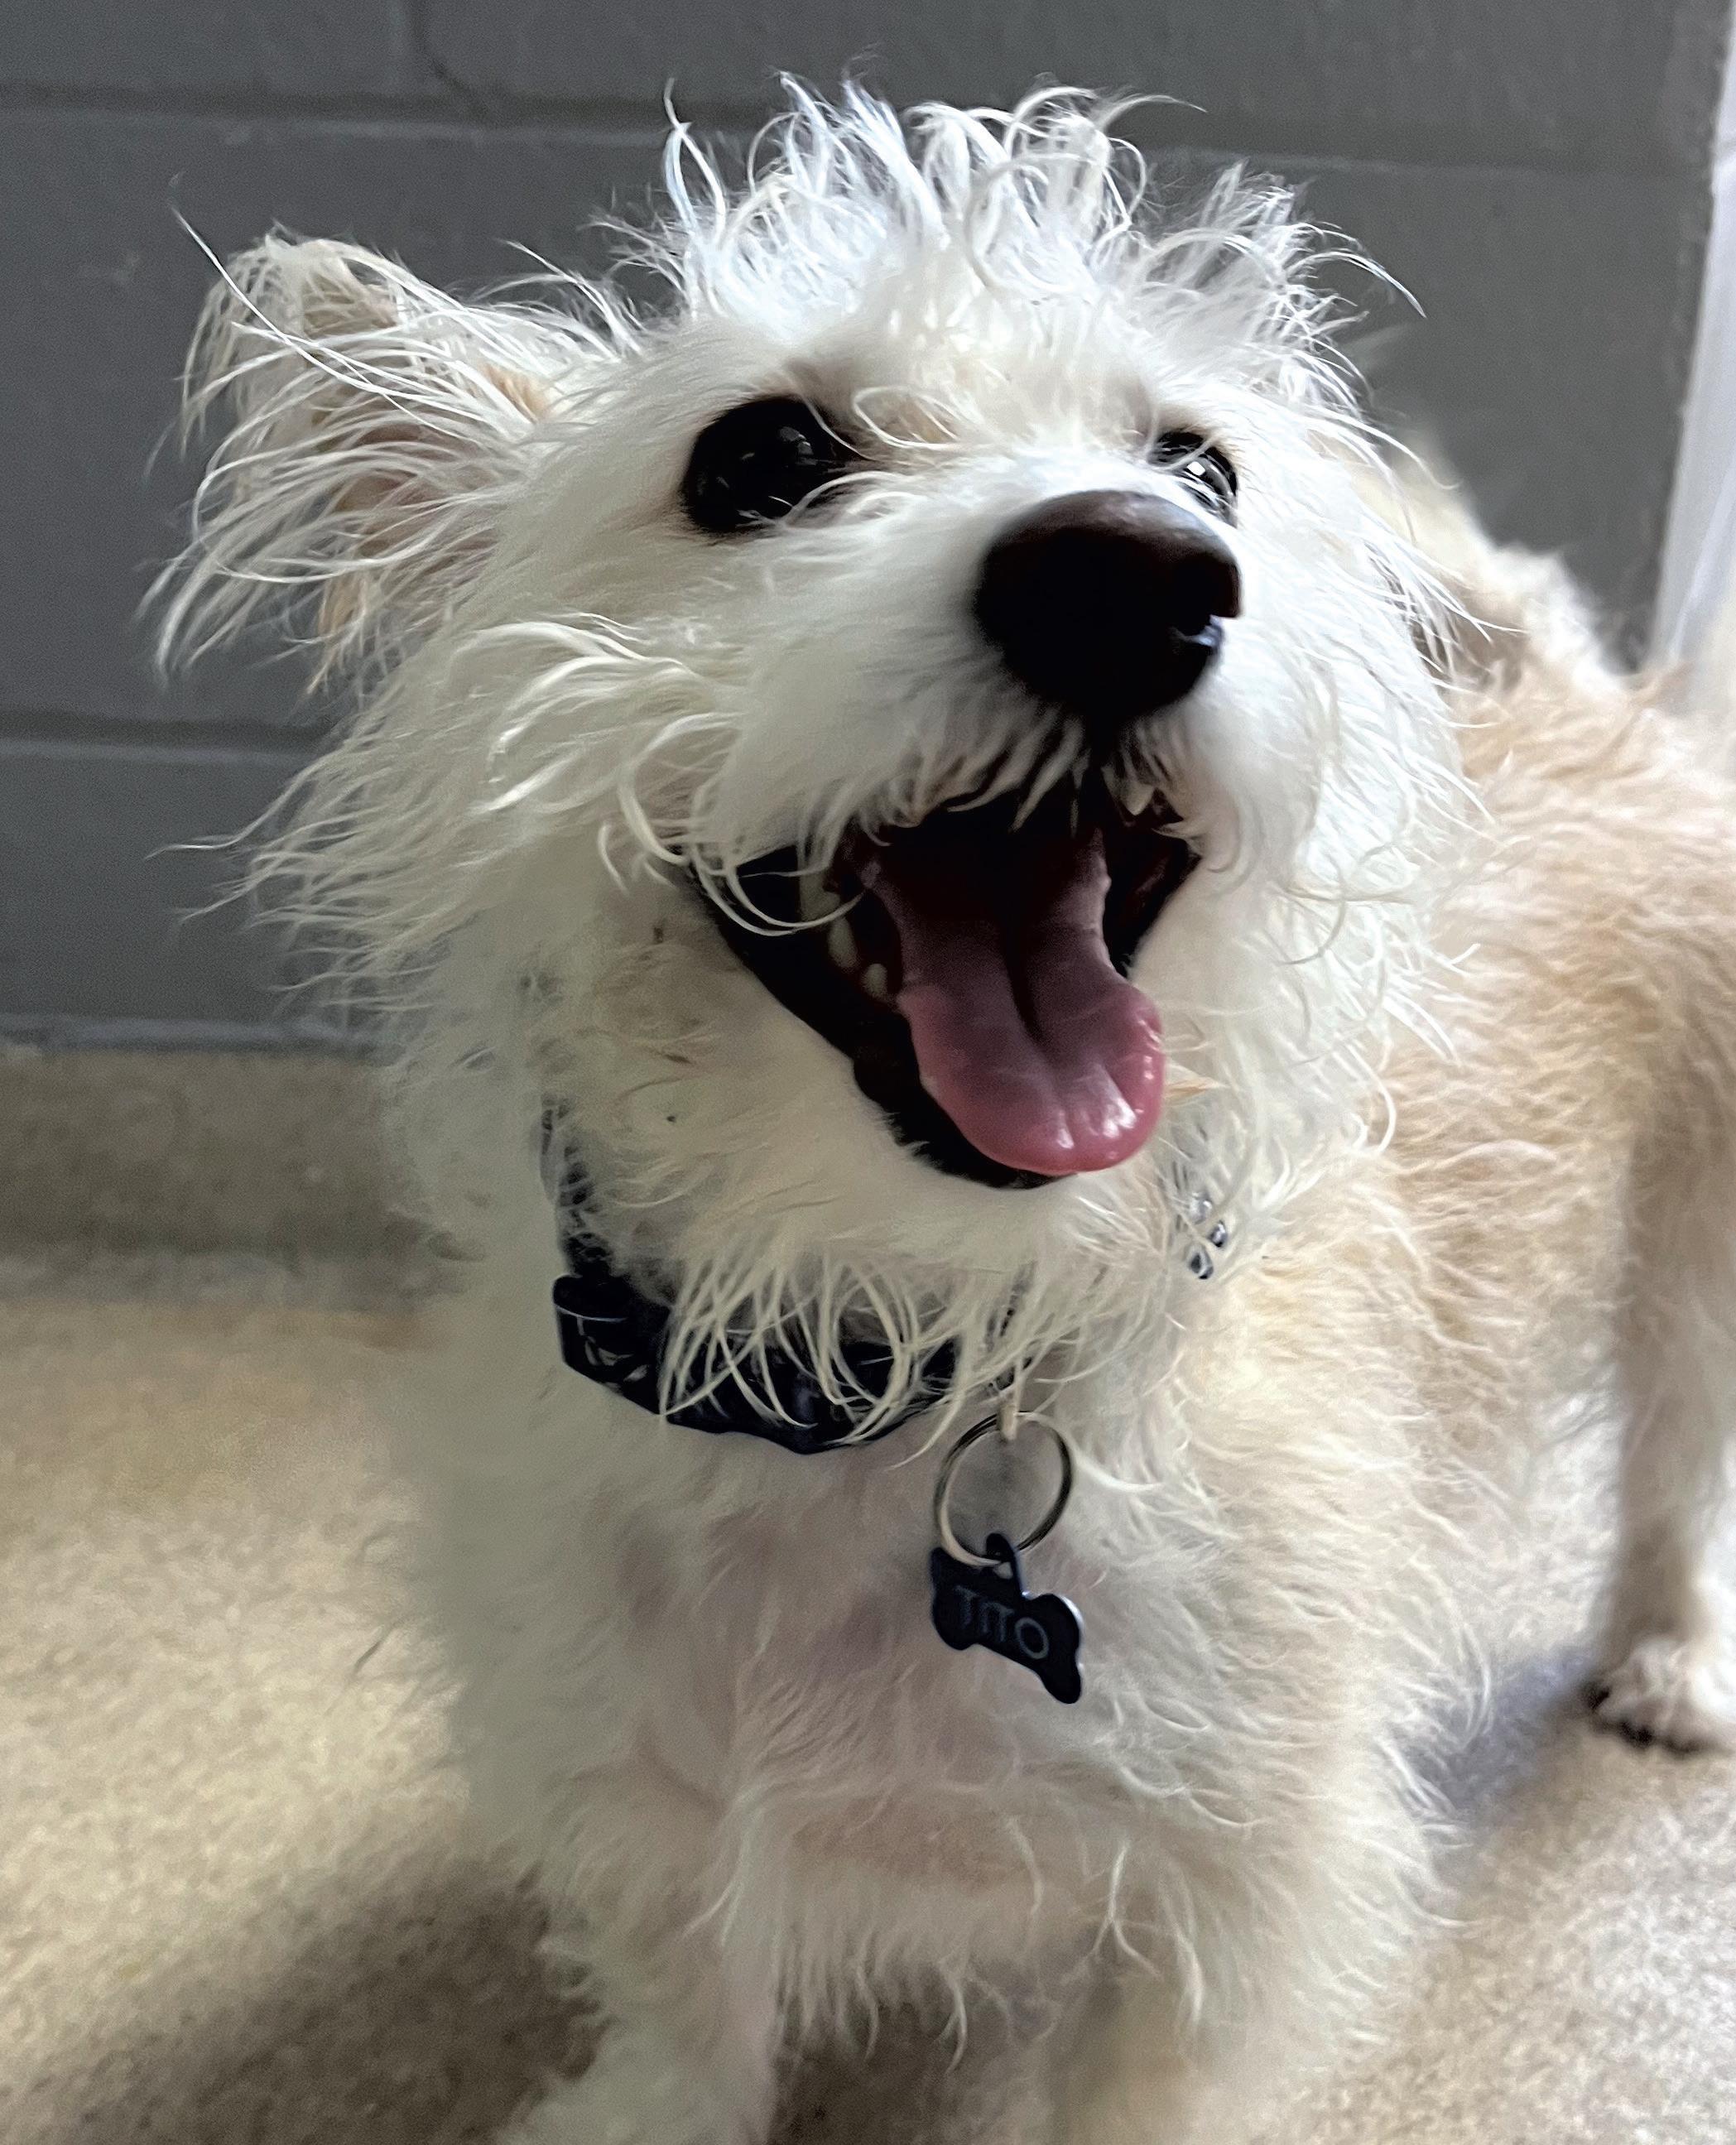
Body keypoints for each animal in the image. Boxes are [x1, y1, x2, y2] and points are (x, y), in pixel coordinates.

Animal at [161, 87, 1736, 2144]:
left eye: (1199, 467)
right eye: (757, 457)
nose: (1134, 572)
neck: (888, 1351)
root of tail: (1586, 697)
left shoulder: (1218, 1896)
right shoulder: (651, 1810)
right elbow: (684, 2020)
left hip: (1696, 1254)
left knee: (1674, 1466)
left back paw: (1671, 1648)